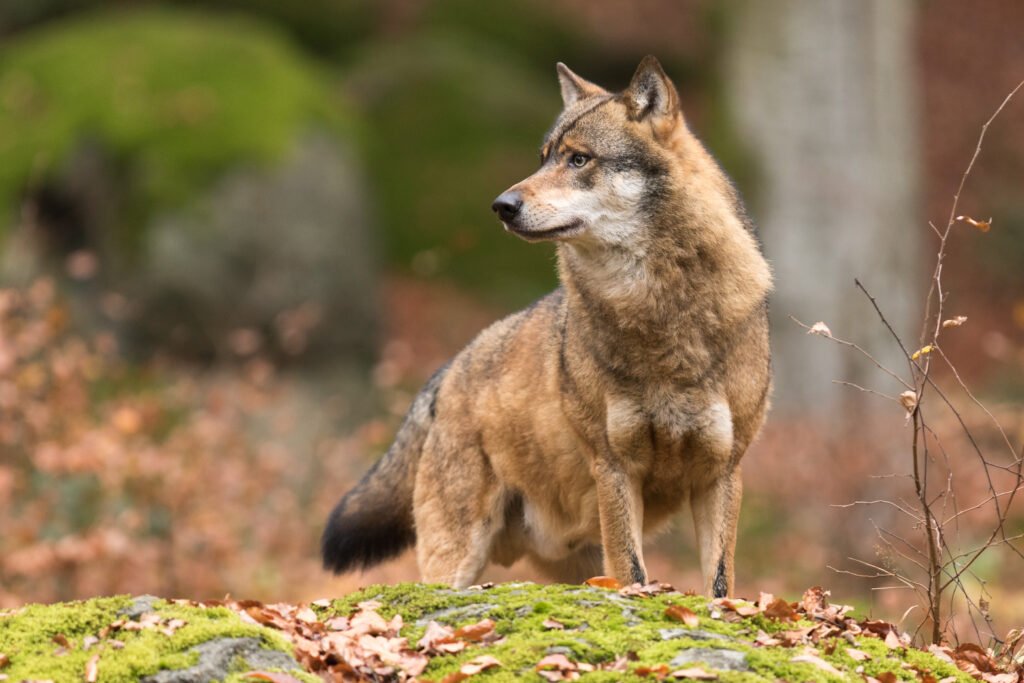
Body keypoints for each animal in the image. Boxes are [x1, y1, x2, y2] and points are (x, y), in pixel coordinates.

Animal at [323, 56, 770, 593]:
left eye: (579, 160)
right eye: (543, 158)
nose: (502, 205)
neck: (661, 312)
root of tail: (446, 372)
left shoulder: (722, 471)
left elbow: (720, 585)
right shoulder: (614, 466)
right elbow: (633, 573)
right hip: (456, 557)